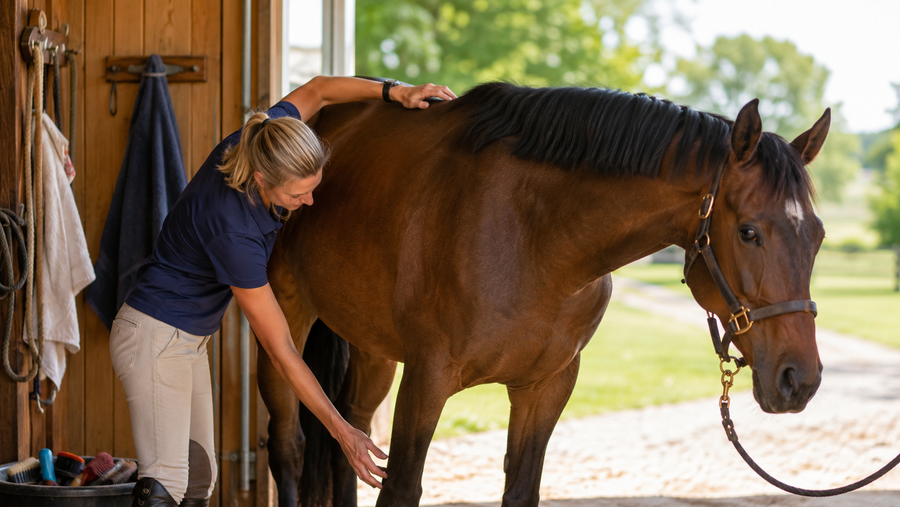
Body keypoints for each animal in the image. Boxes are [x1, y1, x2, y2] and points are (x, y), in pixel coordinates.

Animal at [258, 82, 830, 507]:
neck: (535, 237)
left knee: (347, 434)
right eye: (749, 232)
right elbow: (400, 488)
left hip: (373, 347)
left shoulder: (547, 387)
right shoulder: (427, 379)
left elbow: (520, 488)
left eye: (819, 234)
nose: (798, 379)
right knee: (288, 446)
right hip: (286, 321)